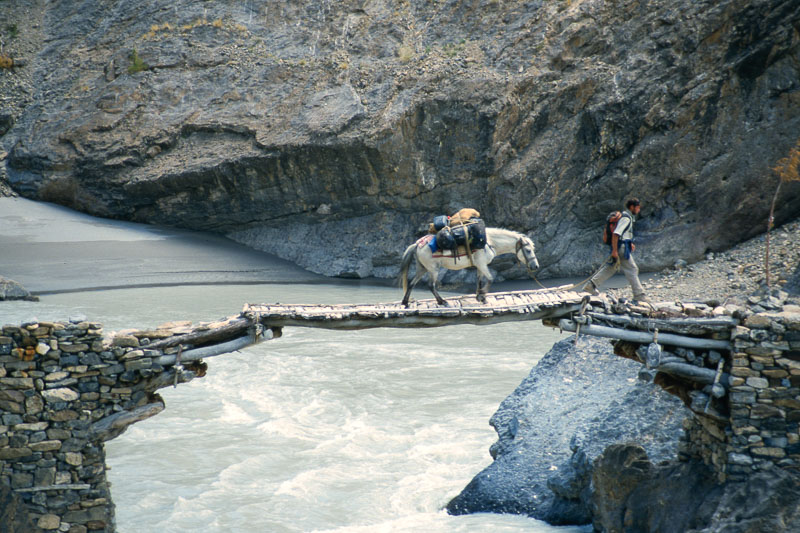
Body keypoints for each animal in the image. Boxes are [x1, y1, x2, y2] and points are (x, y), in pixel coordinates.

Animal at [398, 224, 540, 306]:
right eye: (528, 250)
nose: (535, 266)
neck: (489, 242)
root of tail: (417, 244)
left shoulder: (480, 266)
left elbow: (479, 280)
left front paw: (480, 296)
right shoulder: (482, 264)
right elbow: (490, 279)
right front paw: (482, 295)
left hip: (422, 268)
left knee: (411, 283)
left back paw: (405, 302)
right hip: (433, 269)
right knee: (431, 285)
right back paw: (442, 301)